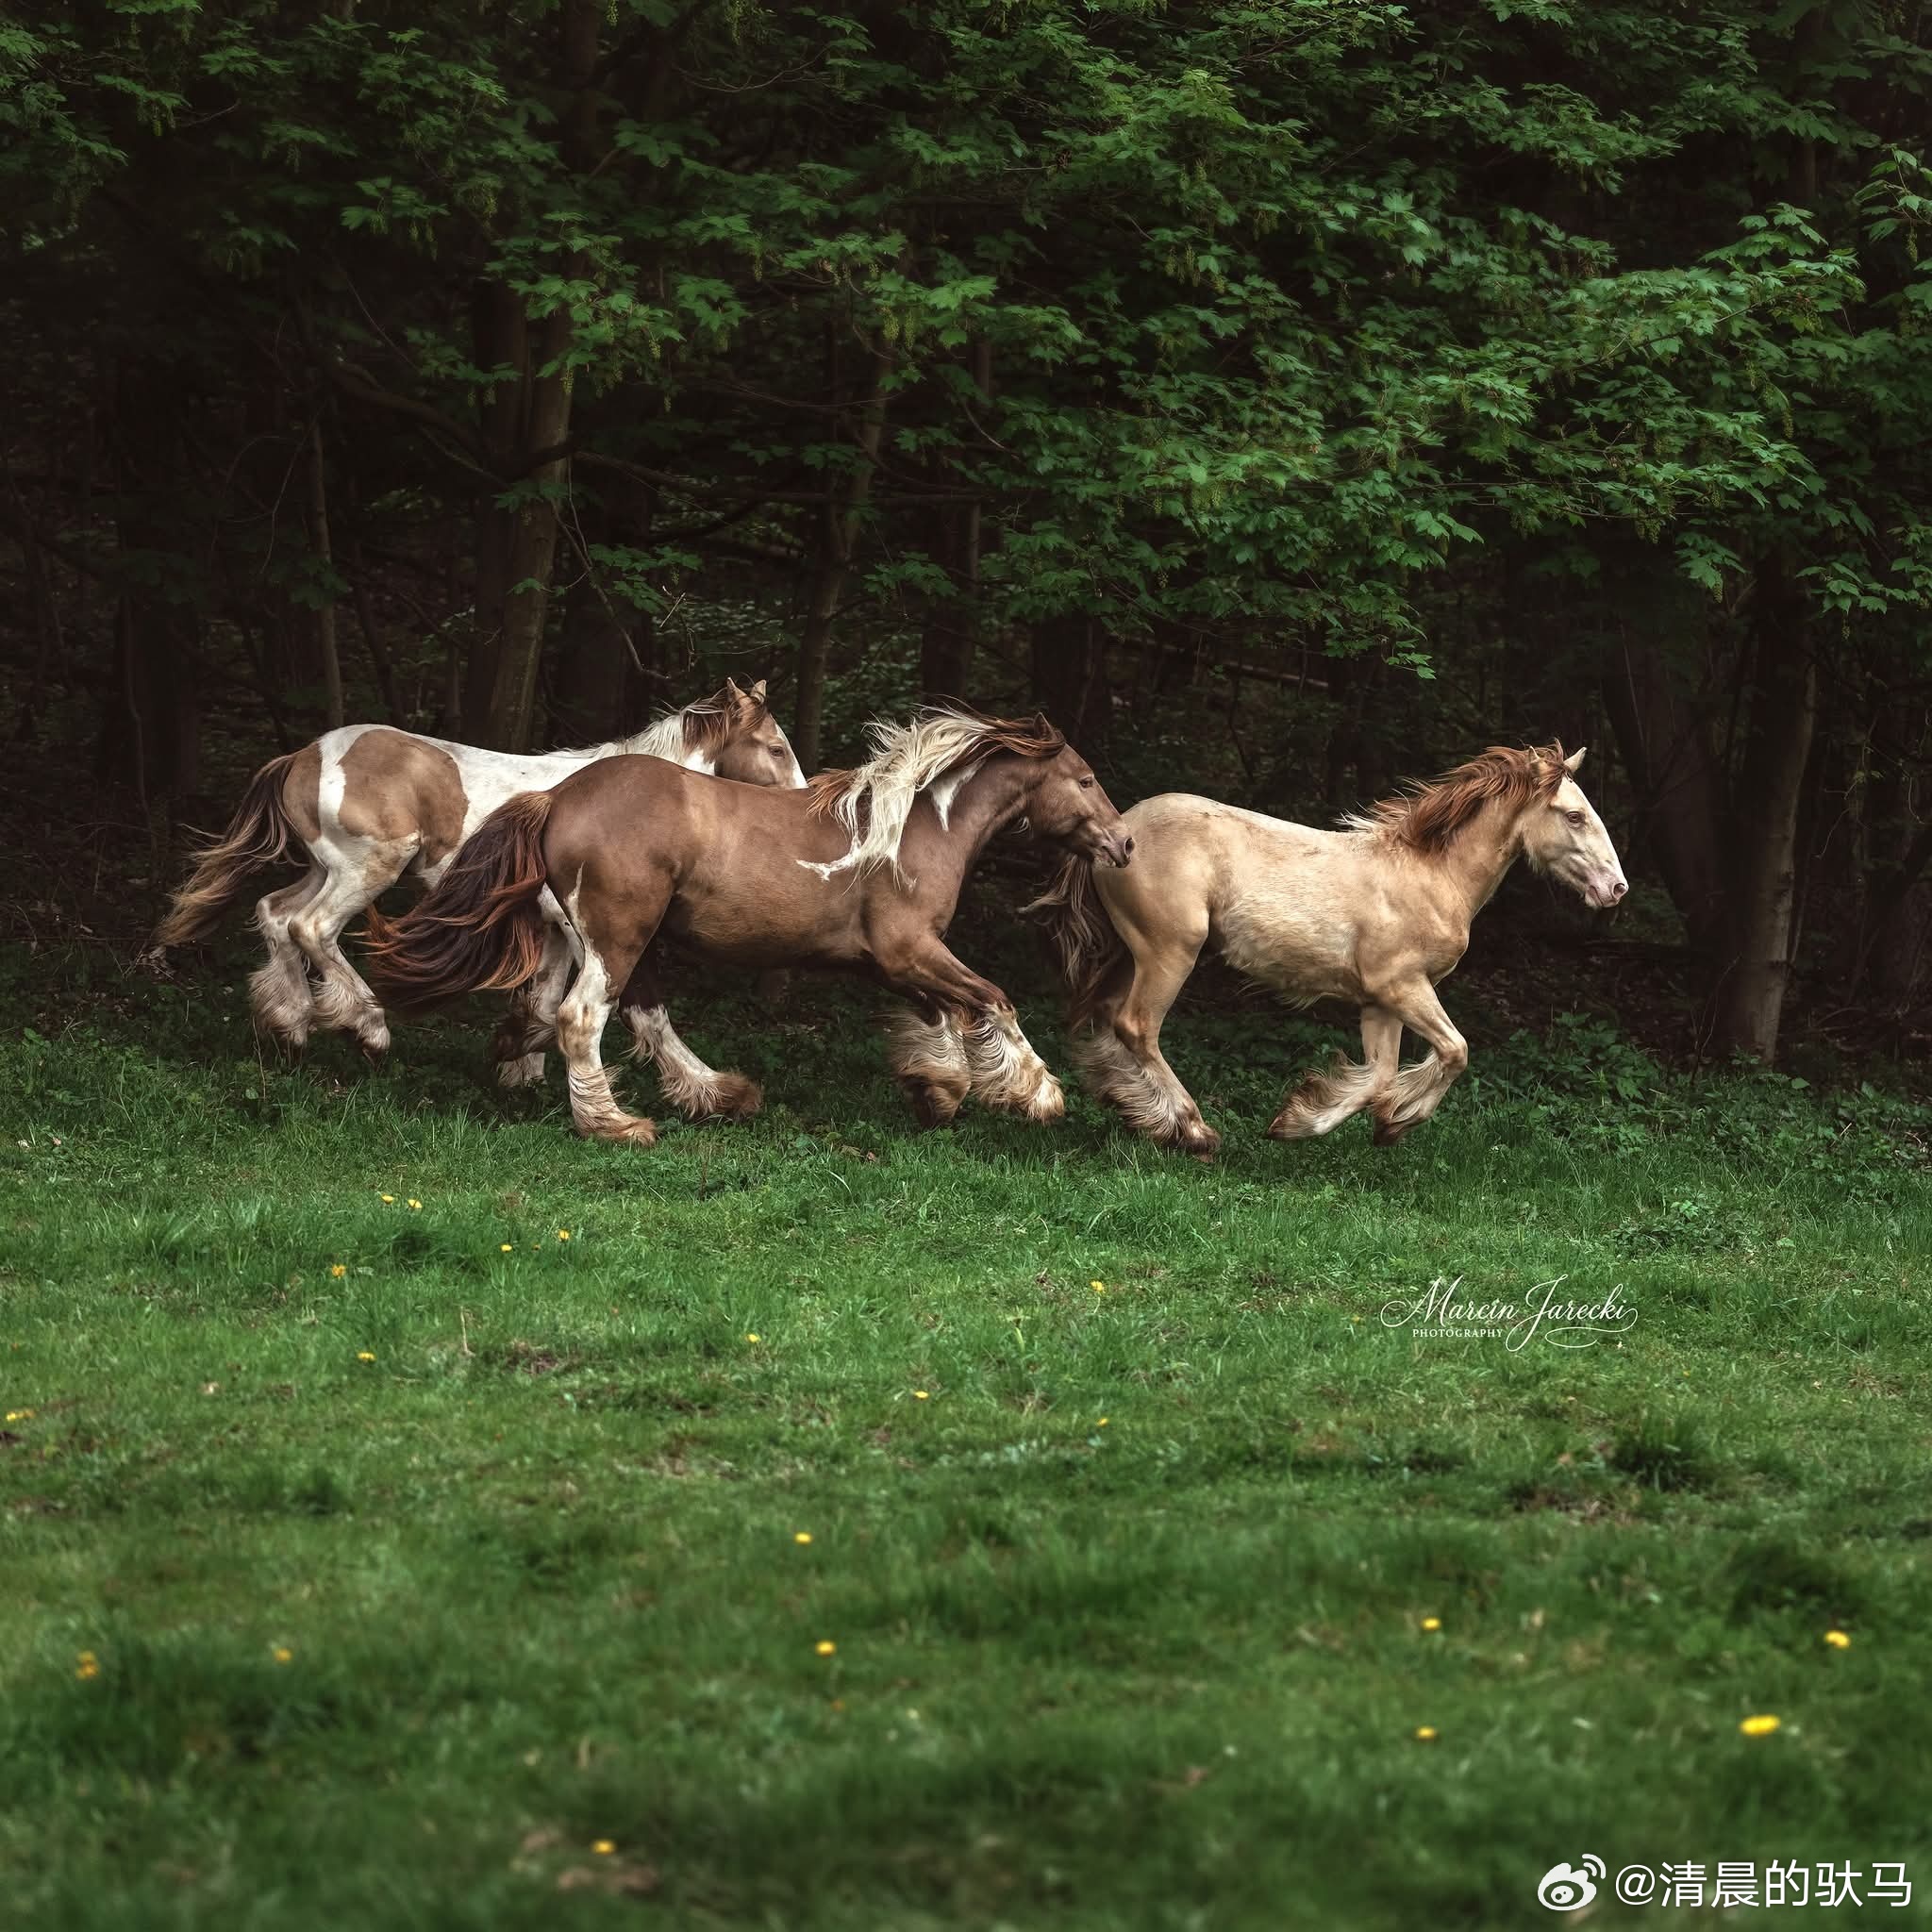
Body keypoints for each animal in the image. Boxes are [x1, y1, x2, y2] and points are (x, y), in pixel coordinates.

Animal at [155, 679, 804, 1081]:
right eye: (775, 747)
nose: (804, 802)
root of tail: (303, 756)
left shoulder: (551, 930)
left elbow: (542, 999)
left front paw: (521, 1072)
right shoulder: (581, 933)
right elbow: (590, 1006)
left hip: (322, 868)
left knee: (274, 913)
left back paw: (291, 1024)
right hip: (367, 869)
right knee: (310, 928)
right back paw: (367, 1028)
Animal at [363, 708, 1133, 1146]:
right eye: (1087, 779)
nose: (1124, 844)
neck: (919, 828)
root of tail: (556, 798)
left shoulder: (899, 962)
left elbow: (944, 1015)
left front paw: (939, 1091)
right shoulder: (910, 950)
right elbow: (992, 1000)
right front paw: (1039, 1094)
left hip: (617, 939)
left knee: (614, 1012)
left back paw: (709, 1094)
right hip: (618, 935)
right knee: (582, 1018)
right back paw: (615, 1125)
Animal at [1031, 743, 1627, 1156]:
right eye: (1574, 815)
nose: (1616, 889)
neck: (1430, 876)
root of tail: (1118, 831)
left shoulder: (1380, 1002)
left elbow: (1382, 1074)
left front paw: (1303, 1122)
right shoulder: (1402, 987)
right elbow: (1455, 1051)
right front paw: (1393, 1123)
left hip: (1128, 953)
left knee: (1107, 1020)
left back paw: (1136, 1112)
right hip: (1170, 951)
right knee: (1137, 1027)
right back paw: (1193, 1130)